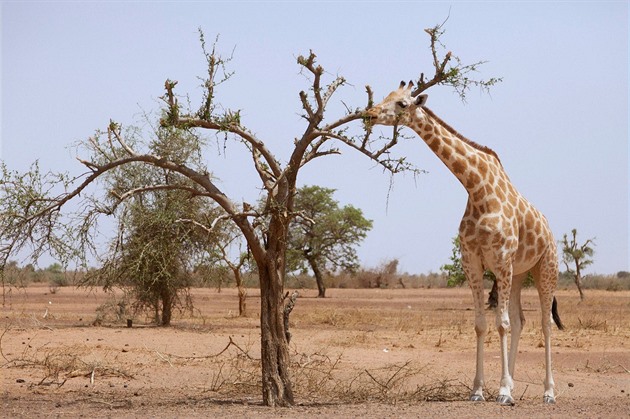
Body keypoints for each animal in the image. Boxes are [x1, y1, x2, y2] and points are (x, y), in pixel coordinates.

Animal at [368, 82, 564, 406]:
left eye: (402, 103)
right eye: (385, 97)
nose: (369, 114)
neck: (476, 188)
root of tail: (549, 230)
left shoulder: (500, 260)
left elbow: (501, 324)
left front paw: (504, 393)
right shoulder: (473, 262)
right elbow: (482, 324)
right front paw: (480, 390)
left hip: (545, 268)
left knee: (546, 323)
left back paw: (548, 393)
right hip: (519, 273)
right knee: (521, 320)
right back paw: (515, 383)